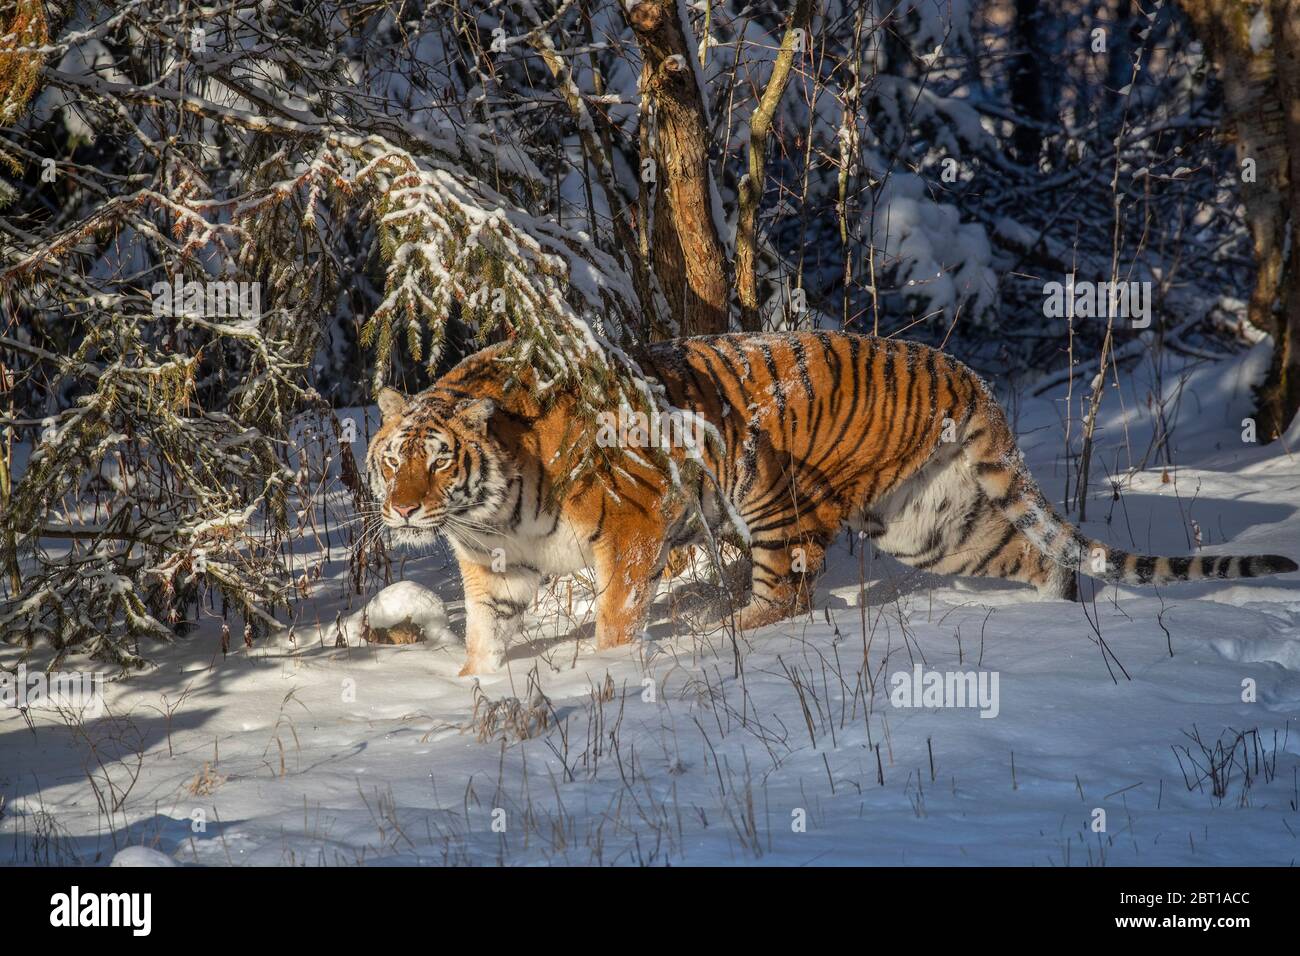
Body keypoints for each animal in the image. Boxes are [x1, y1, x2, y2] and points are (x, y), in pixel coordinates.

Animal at [365, 331, 1297, 675]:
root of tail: (958, 368)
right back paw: (1065, 615)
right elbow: (486, 633)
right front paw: (473, 688)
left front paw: (610, 671)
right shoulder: (495, 567)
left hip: (772, 488)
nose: (404, 512)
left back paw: (723, 633)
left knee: (788, 592)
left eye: (437, 461)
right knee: (1032, 553)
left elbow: (616, 617)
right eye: (391, 463)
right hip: (932, 524)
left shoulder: (628, 532)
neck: (486, 508)